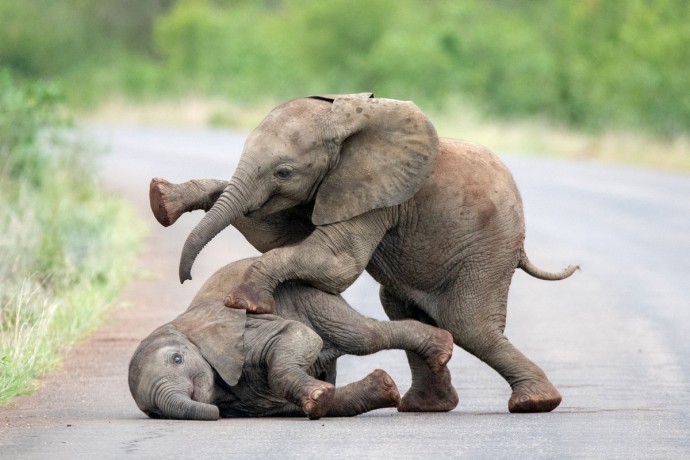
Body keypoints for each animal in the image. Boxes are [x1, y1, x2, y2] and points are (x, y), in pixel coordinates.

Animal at [127, 258, 452, 420]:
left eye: (177, 359)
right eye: (154, 412)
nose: (216, 415)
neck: (183, 327)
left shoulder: (246, 328)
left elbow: (299, 335)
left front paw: (319, 397)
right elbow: (287, 404)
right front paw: (324, 398)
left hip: (310, 297)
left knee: (364, 336)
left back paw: (442, 347)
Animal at [150, 92, 576, 414]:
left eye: (283, 172)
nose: (186, 277)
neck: (343, 116)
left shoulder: (380, 194)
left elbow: (337, 264)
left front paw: (246, 302)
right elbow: (277, 235)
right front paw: (162, 200)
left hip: (488, 247)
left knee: (469, 325)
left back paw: (535, 402)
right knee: (401, 307)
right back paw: (427, 405)